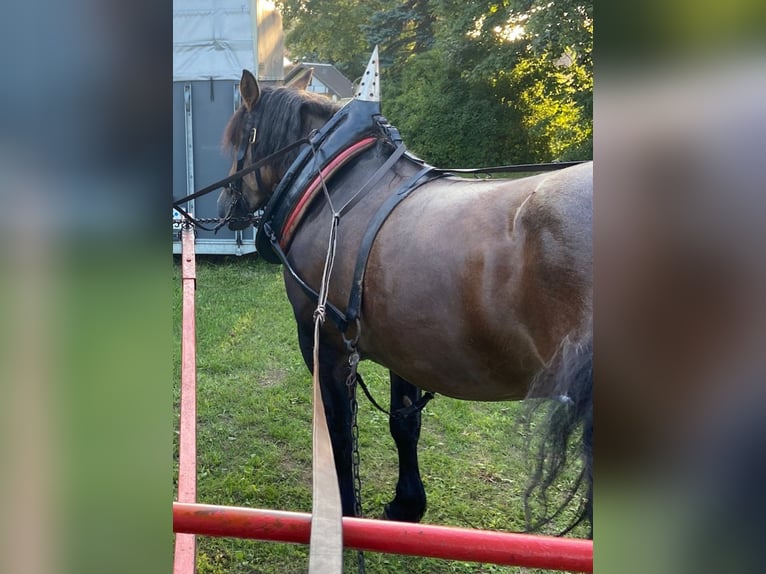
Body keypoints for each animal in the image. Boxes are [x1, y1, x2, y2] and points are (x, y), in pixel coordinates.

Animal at [216, 66, 593, 537]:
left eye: (237, 142)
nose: (222, 206)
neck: (333, 185)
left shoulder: (324, 345)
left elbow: (338, 434)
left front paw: (344, 512)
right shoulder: (407, 347)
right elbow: (404, 422)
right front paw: (407, 505)